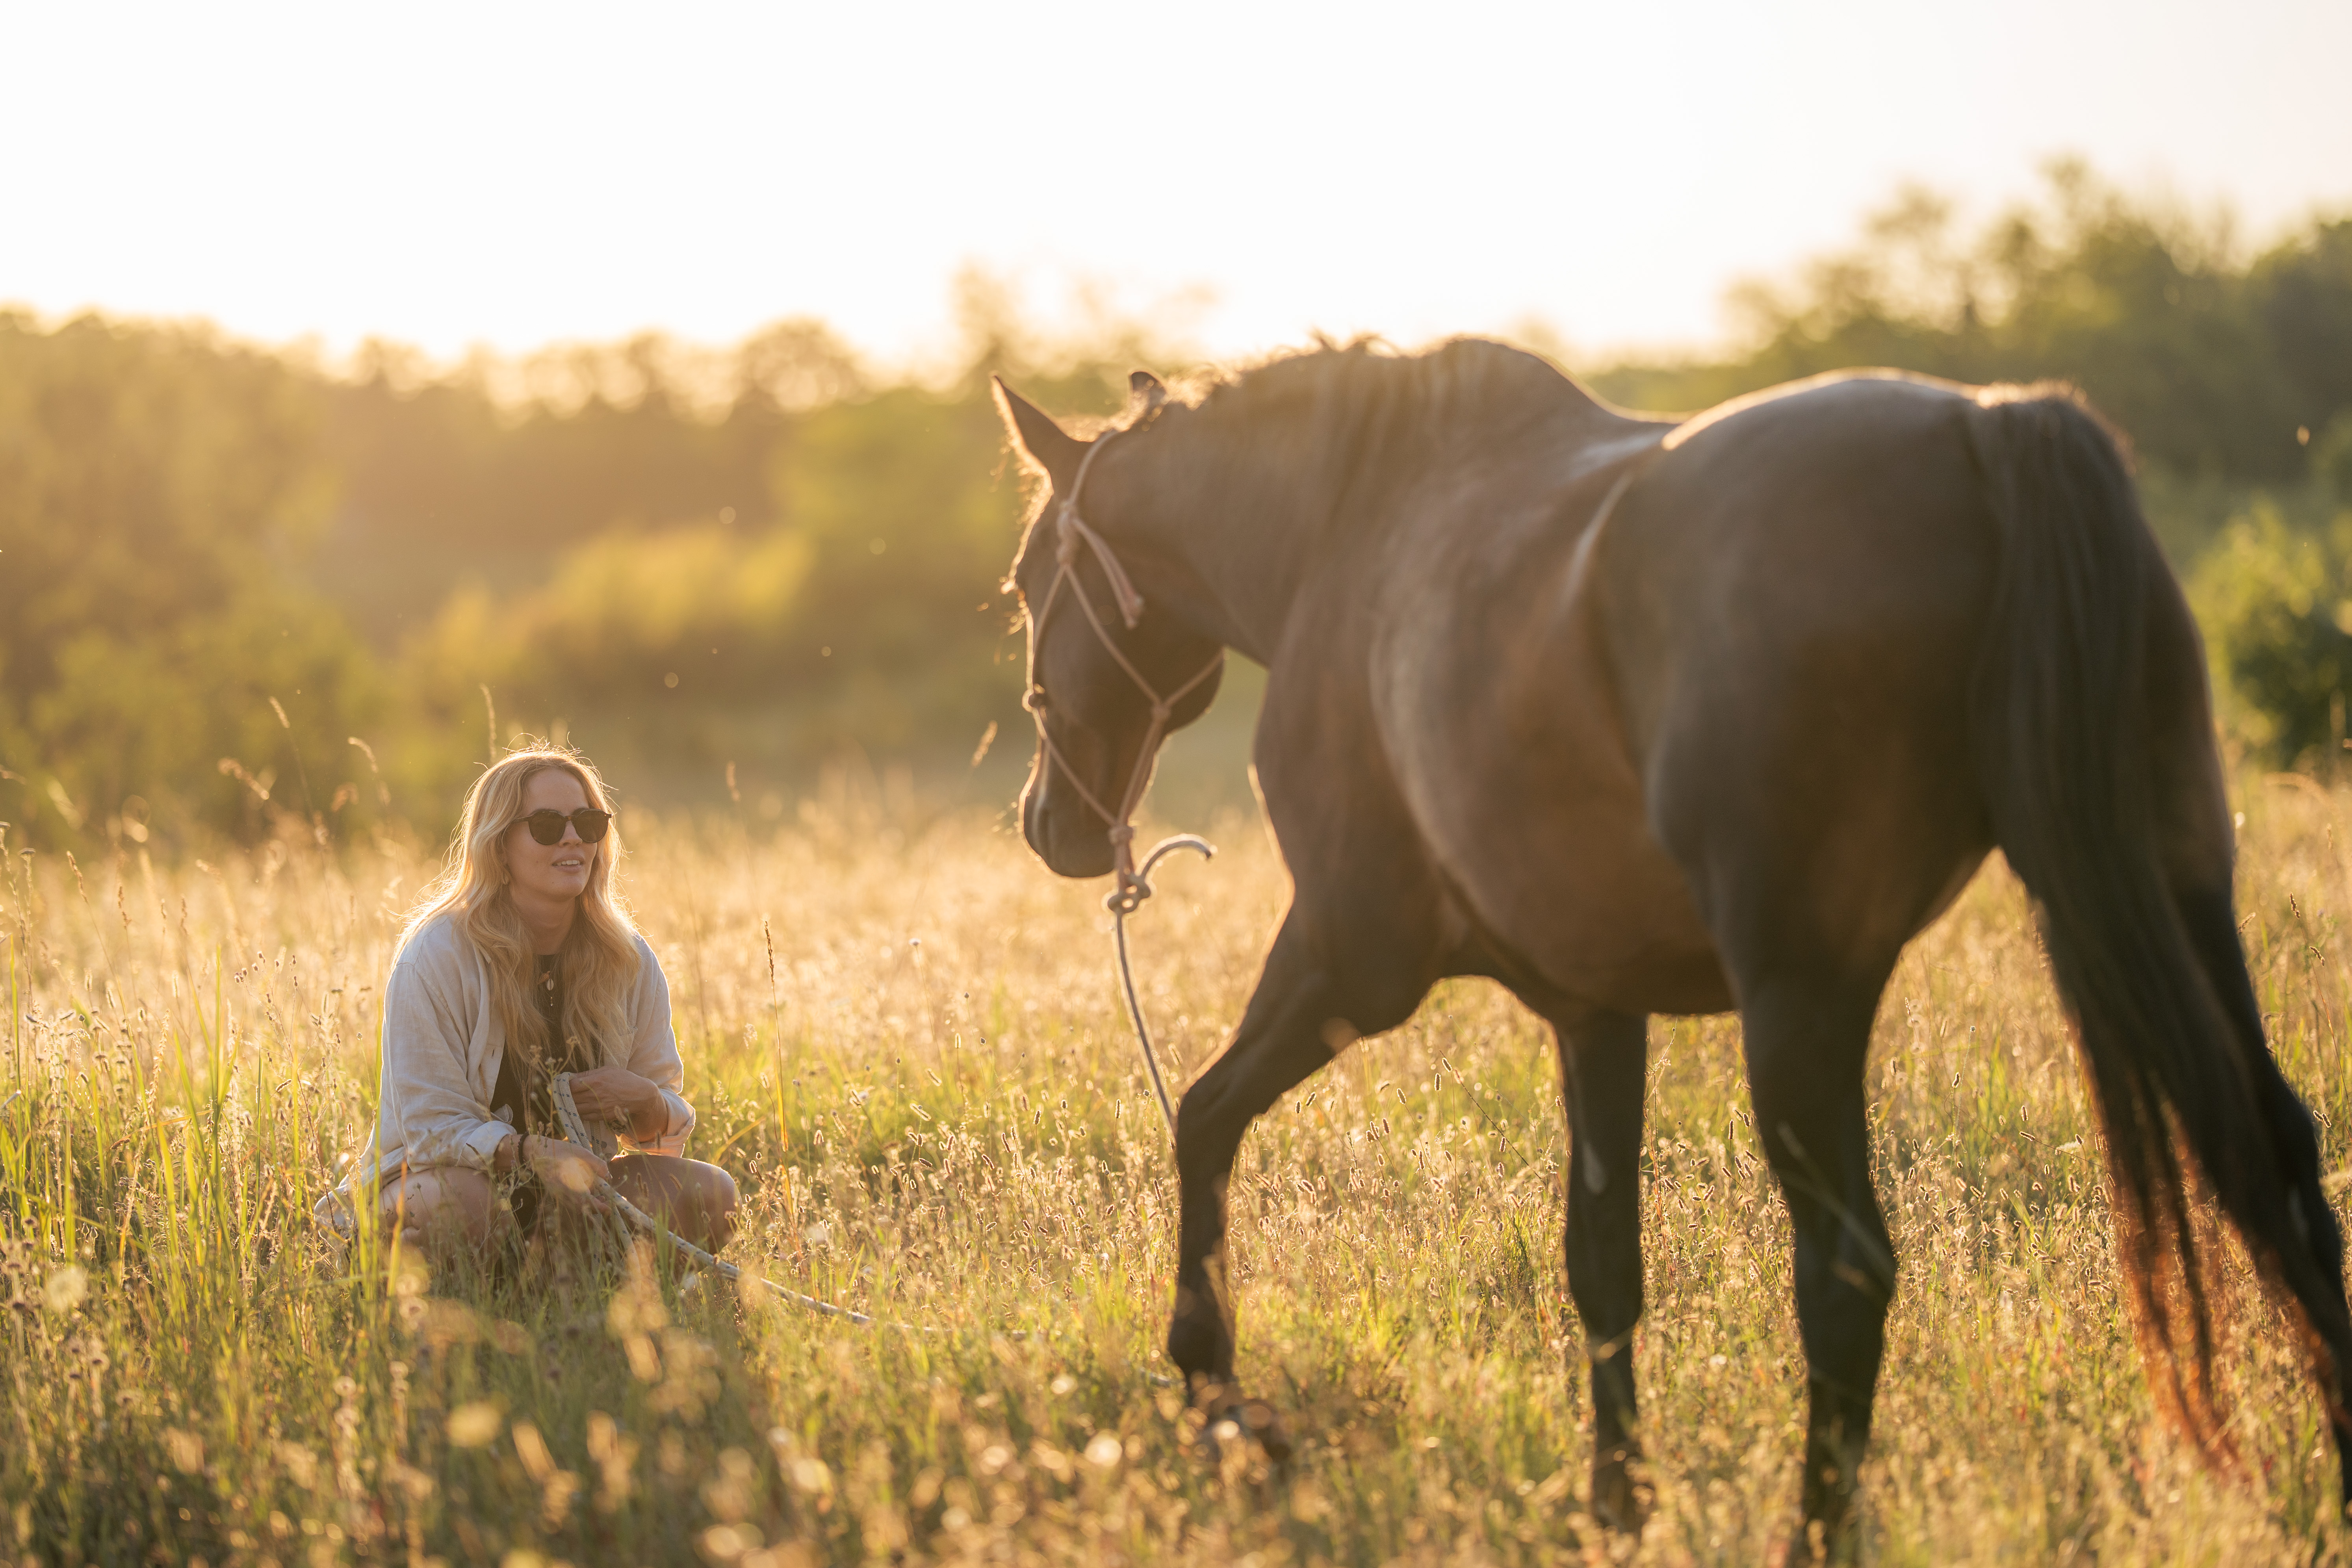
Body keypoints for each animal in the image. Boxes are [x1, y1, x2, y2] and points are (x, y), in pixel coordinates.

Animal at [993, 337, 2352, 1555]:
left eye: (1024, 583)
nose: (1050, 822)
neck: (1353, 531)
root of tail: (1987, 428)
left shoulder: (1352, 955)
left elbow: (1201, 1119)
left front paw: (1218, 1400)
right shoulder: (1594, 1008)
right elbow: (1601, 1261)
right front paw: (1615, 1504)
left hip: (1803, 1000)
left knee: (1844, 1272)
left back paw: (1813, 1538)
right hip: (2175, 898)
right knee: (2280, 1169)